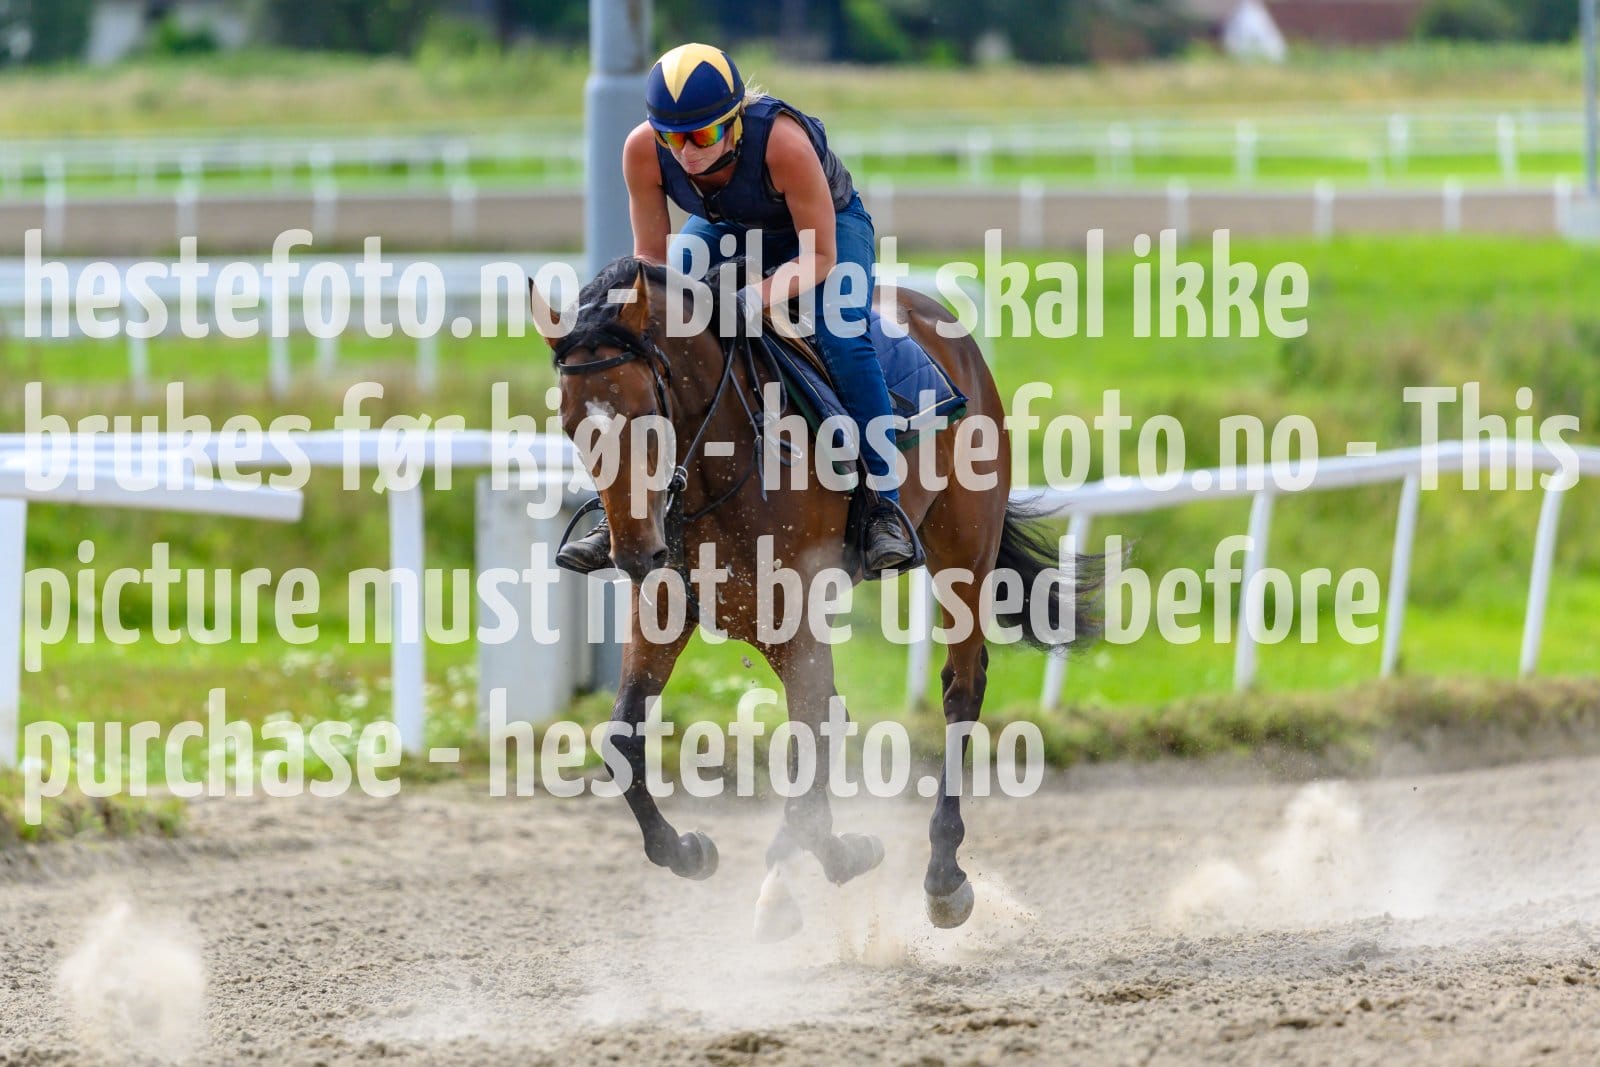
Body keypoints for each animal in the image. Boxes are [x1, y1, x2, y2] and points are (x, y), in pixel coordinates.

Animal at [528, 257, 1100, 933]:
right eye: (570, 425)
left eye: (645, 414)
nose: (634, 551)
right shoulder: (669, 603)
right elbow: (622, 738)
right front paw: (688, 849)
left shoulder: (794, 608)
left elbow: (813, 746)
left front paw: (840, 854)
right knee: (828, 714)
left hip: (964, 551)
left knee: (960, 689)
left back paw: (942, 875)